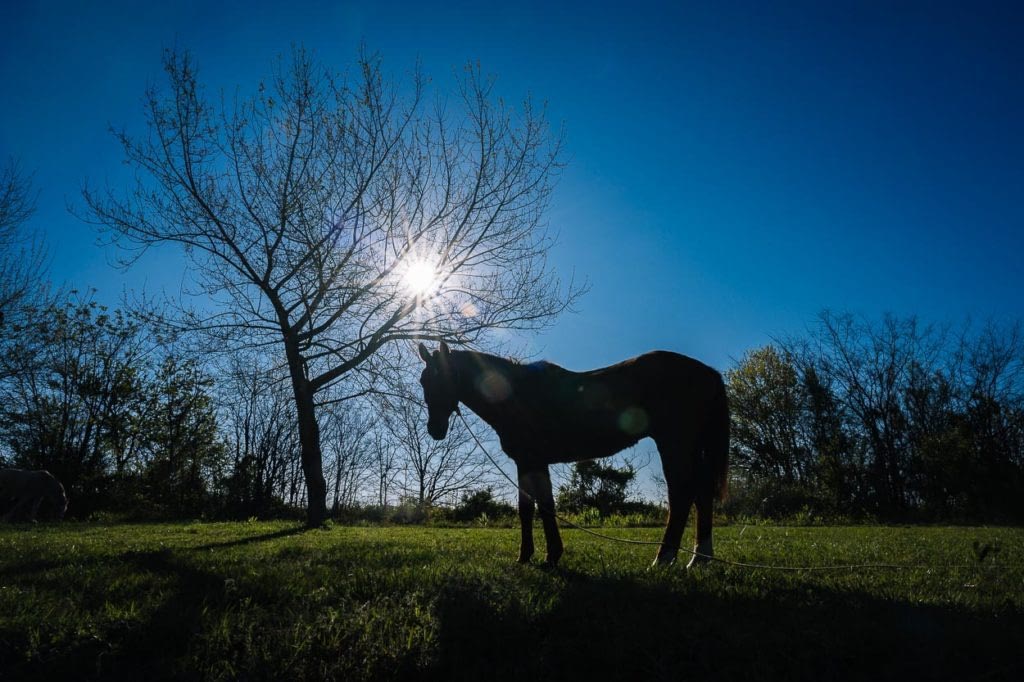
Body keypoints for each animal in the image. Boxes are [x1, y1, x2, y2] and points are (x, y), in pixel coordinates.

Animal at [415, 342, 729, 565]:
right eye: (423, 381)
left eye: (443, 377)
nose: (435, 429)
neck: (516, 394)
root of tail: (707, 372)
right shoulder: (529, 462)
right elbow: (531, 508)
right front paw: (531, 556)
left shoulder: (532, 461)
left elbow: (542, 507)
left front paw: (546, 556)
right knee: (701, 493)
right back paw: (699, 559)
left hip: (674, 443)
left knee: (681, 493)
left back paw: (664, 558)